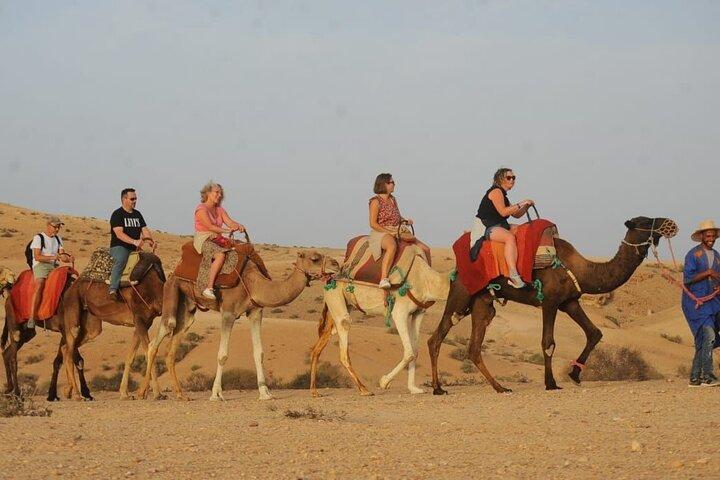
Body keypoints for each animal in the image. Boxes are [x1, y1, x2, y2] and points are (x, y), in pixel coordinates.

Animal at [60, 251, 166, 401]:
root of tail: (70, 288)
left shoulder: (144, 322)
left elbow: (131, 356)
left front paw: (125, 393)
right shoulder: (139, 318)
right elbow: (148, 352)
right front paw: (157, 393)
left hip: (91, 323)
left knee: (66, 347)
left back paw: (69, 391)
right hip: (72, 307)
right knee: (69, 348)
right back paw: (76, 395)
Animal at [138, 250, 340, 401]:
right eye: (314, 258)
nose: (336, 264)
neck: (253, 283)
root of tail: (176, 269)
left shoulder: (255, 312)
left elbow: (259, 353)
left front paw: (265, 393)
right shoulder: (228, 312)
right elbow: (222, 355)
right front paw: (216, 394)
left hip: (187, 305)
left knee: (174, 341)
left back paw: (181, 395)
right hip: (171, 288)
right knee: (161, 334)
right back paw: (143, 393)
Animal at [309, 249, 450, 396]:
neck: (426, 280)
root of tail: (328, 280)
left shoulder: (418, 313)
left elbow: (415, 352)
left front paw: (413, 388)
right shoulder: (400, 313)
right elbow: (409, 352)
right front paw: (384, 382)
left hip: (339, 307)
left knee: (318, 347)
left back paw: (314, 391)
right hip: (336, 301)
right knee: (344, 337)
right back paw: (364, 390)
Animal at [427, 216, 677, 394]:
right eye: (645, 222)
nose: (670, 223)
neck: (582, 269)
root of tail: (457, 269)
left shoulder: (570, 302)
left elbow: (594, 333)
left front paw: (575, 375)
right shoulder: (550, 302)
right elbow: (548, 343)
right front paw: (551, 383)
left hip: (483, 302)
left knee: (474, 347)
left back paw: (500, 387)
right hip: (461, 294)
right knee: (437, 337)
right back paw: (438, 388)